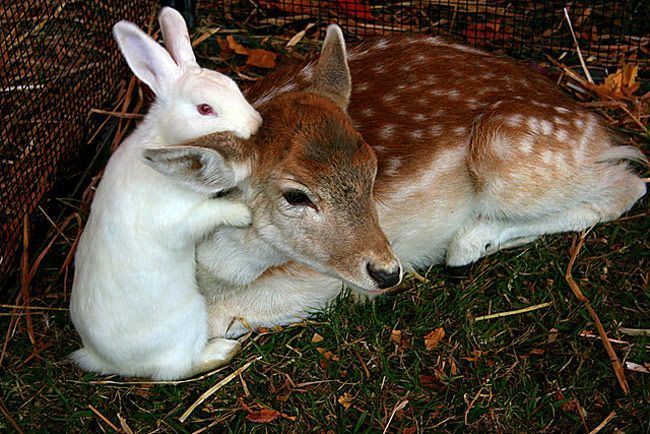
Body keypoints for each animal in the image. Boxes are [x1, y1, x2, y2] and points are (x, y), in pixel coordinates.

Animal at [70, 7, 260, 380]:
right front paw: (243, 213)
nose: (256, 123)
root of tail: (104, 360)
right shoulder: (179, 220)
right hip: (191, 318)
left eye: (233, 85)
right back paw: (223, 351)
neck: (160, 140)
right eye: (205, 109)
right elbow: (210, 214)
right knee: (181, 366)